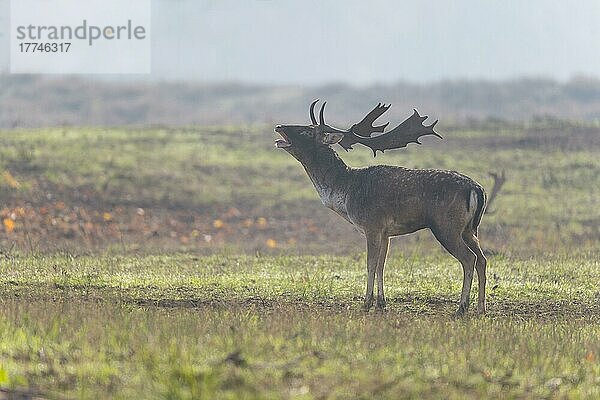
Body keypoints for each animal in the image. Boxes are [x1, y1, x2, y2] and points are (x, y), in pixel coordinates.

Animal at [276, 100, 488, 316]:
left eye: (308, 131)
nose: (279, 126)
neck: (346, 193)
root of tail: (476, 189)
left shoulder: (372, 225)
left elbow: (370, 264)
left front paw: (366, 303)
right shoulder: (386, 233)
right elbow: (381, 266)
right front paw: (381, 302)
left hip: (447, 226)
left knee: (469, 259)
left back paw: (461, 308)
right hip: (470, 229)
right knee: (482, 259)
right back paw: (481, 307)